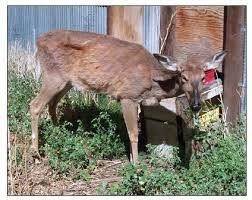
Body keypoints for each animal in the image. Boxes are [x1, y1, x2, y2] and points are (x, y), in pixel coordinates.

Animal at [29, 30, 226, 164]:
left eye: (203, 77)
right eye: (183, 77)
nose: (196, 105)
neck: (153, 81)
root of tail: (38, 41)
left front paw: (132, 159)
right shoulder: (127, 95)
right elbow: (133, 133)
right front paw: (136, 165)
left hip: (67, 81)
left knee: (52, 104)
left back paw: (59, 134)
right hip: (53, 76)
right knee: (35, 105)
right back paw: (37, 154)